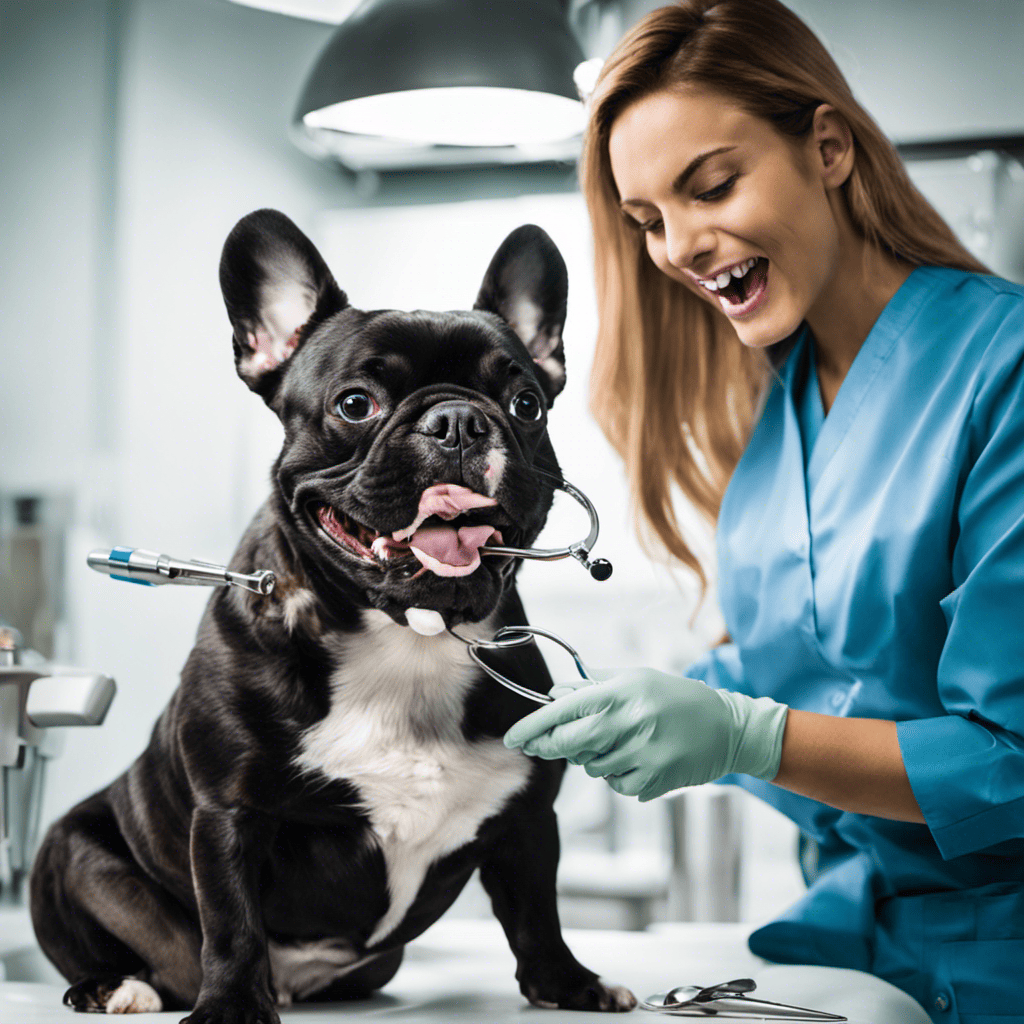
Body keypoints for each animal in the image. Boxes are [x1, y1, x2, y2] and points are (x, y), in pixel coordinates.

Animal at [29, 211, 630, 1019]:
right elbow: (232, 917)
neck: (409, 636)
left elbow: (537, 907)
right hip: (66, 848)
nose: (459, 421)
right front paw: (232, 1006)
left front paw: (566, 984)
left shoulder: (530, 817)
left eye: (526, 405)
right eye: (355, 404)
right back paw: (113, 984)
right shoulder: (229, 813)